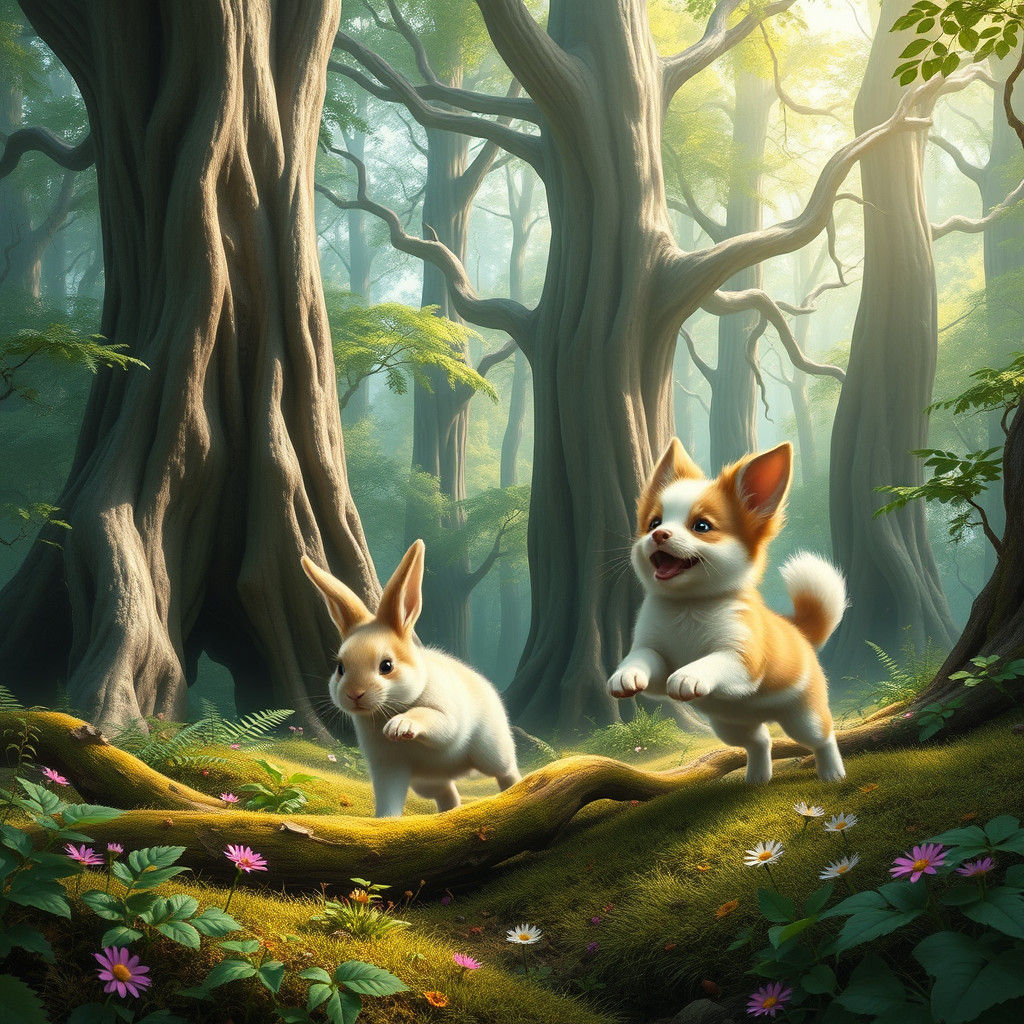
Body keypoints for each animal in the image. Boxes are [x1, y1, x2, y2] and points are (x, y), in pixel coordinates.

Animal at [301, 540, 521, 817]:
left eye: (386, 666)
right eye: (340, 667)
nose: (353, 694)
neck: (390, 707)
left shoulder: (445, 716)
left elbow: (433, 719)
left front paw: (400, 727)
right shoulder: (388, 768)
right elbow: (389, 801)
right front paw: (384, 821)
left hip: (492, 750)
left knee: (506, 772)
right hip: (426, 783)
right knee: (448, 794)